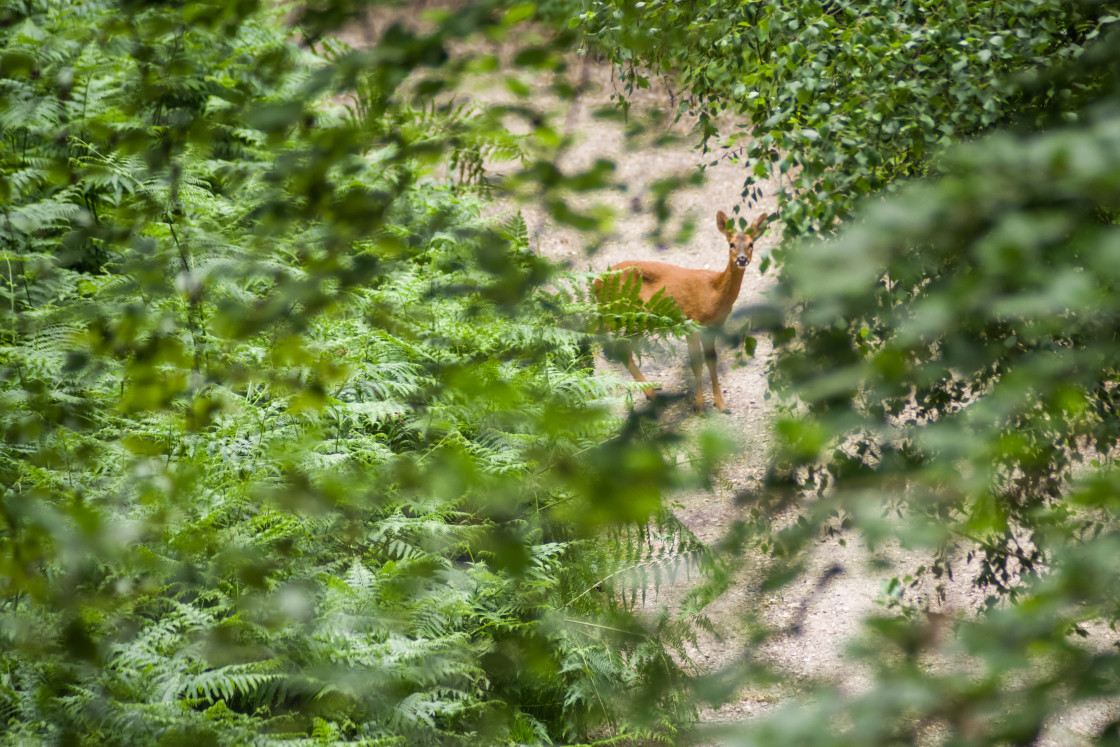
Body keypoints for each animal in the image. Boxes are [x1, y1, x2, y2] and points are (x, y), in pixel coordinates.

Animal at [604, 207, 770, 412]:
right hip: (624, 314)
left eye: (751, 244)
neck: (713, 293)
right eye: (731, 244)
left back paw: (651, 394)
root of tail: (598, 280)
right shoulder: (691, 321)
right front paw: (699, 406)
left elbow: (712, 361)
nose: (741, 259)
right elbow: (696, 363)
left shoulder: (714, 325)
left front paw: (721, 404)